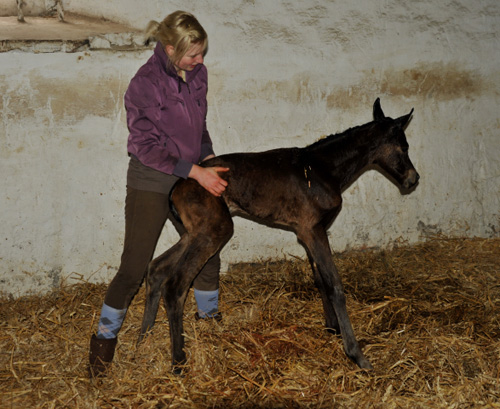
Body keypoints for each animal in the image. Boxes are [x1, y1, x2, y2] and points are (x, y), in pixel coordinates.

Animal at [137, 98, 418, 370]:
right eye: (403, 146)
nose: (413, 180)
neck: (322, 169)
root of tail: (177, 185)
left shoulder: (309, 232)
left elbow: (320, 279)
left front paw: (332, 327)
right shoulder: (312, 230)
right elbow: (335, 285)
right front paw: (357, 355)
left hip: (194, 232)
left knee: (157, 268)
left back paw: (142, 340)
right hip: (213, 231)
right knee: (175, 284)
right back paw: (178, 361)